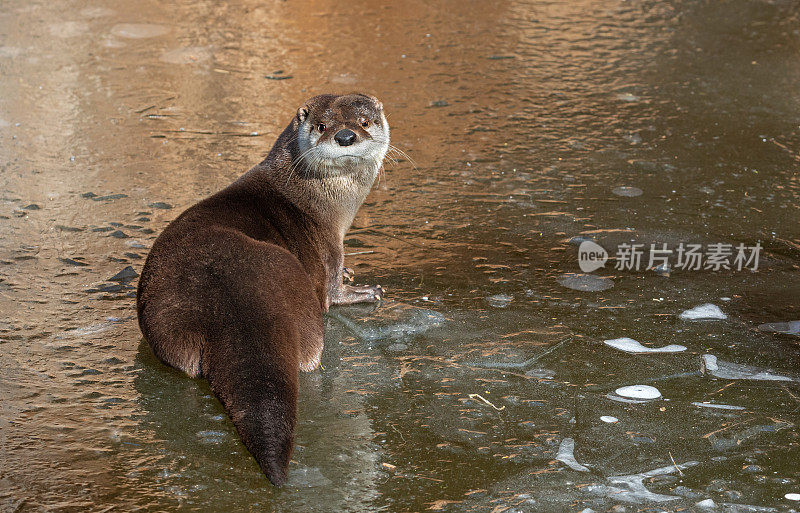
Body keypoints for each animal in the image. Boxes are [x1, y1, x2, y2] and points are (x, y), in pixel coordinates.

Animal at [137, 93, 390, 484]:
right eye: (321, 125)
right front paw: (361, 290)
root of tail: (232, 301)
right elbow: (332, 287)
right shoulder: (328, 243)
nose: (345, 136)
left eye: (364, 122)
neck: (318, 201)